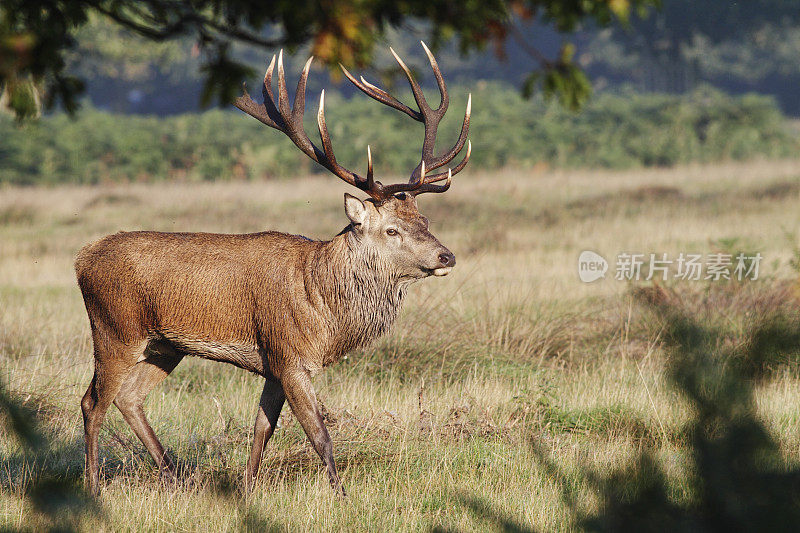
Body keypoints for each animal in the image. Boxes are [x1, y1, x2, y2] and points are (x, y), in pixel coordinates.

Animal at [75, 42, 468, 498]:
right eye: (392, 229)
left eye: (425, 221)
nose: (446, 257)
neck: (324, 308)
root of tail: (82, 258)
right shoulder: (289, 354)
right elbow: (319, 433)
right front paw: (342, 497)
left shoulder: (274, 365)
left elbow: (262, 429)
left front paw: (246, 491)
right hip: (113, 330)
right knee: (93, 402)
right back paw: (93, 487)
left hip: (164, 346)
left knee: (130, 399)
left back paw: (175, 476)